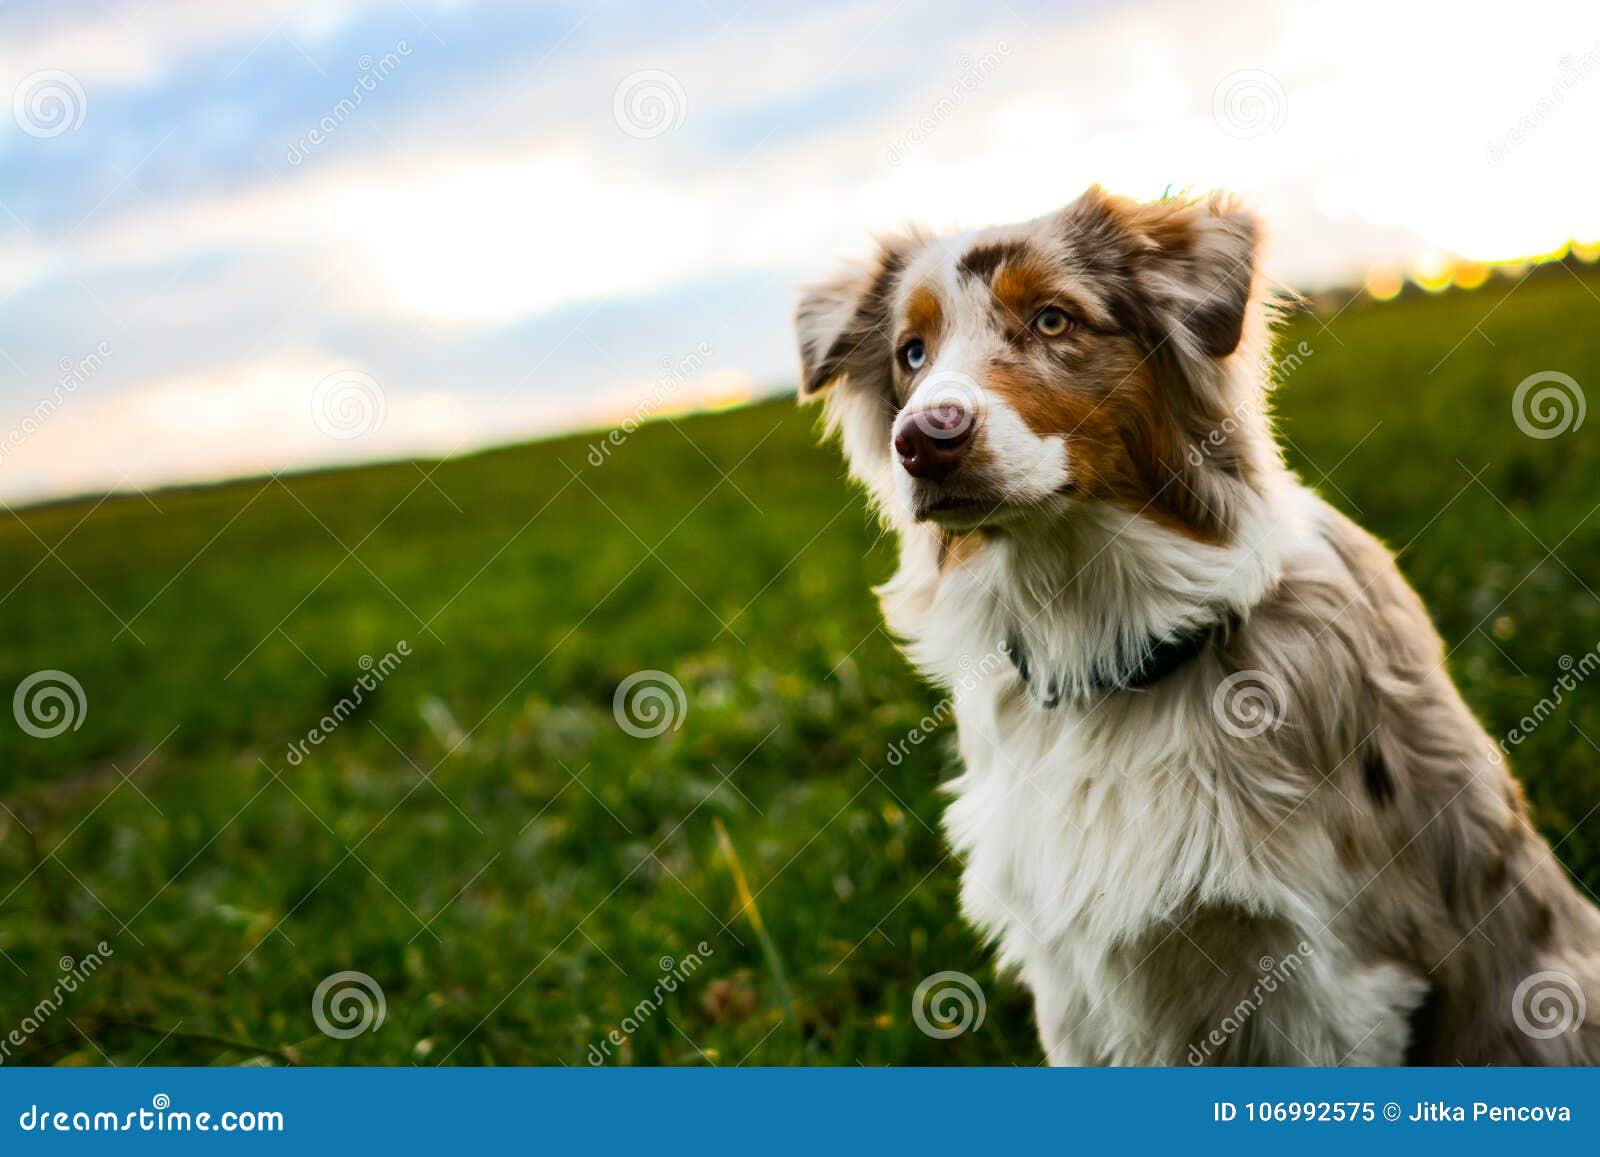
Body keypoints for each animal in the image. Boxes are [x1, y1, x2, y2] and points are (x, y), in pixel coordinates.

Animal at [796, 185, 1600, 1062]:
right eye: (912, 352)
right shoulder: (1071, 984)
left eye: (1053, 319)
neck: (1107, 637)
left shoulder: (1335, 978)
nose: (921, 442)